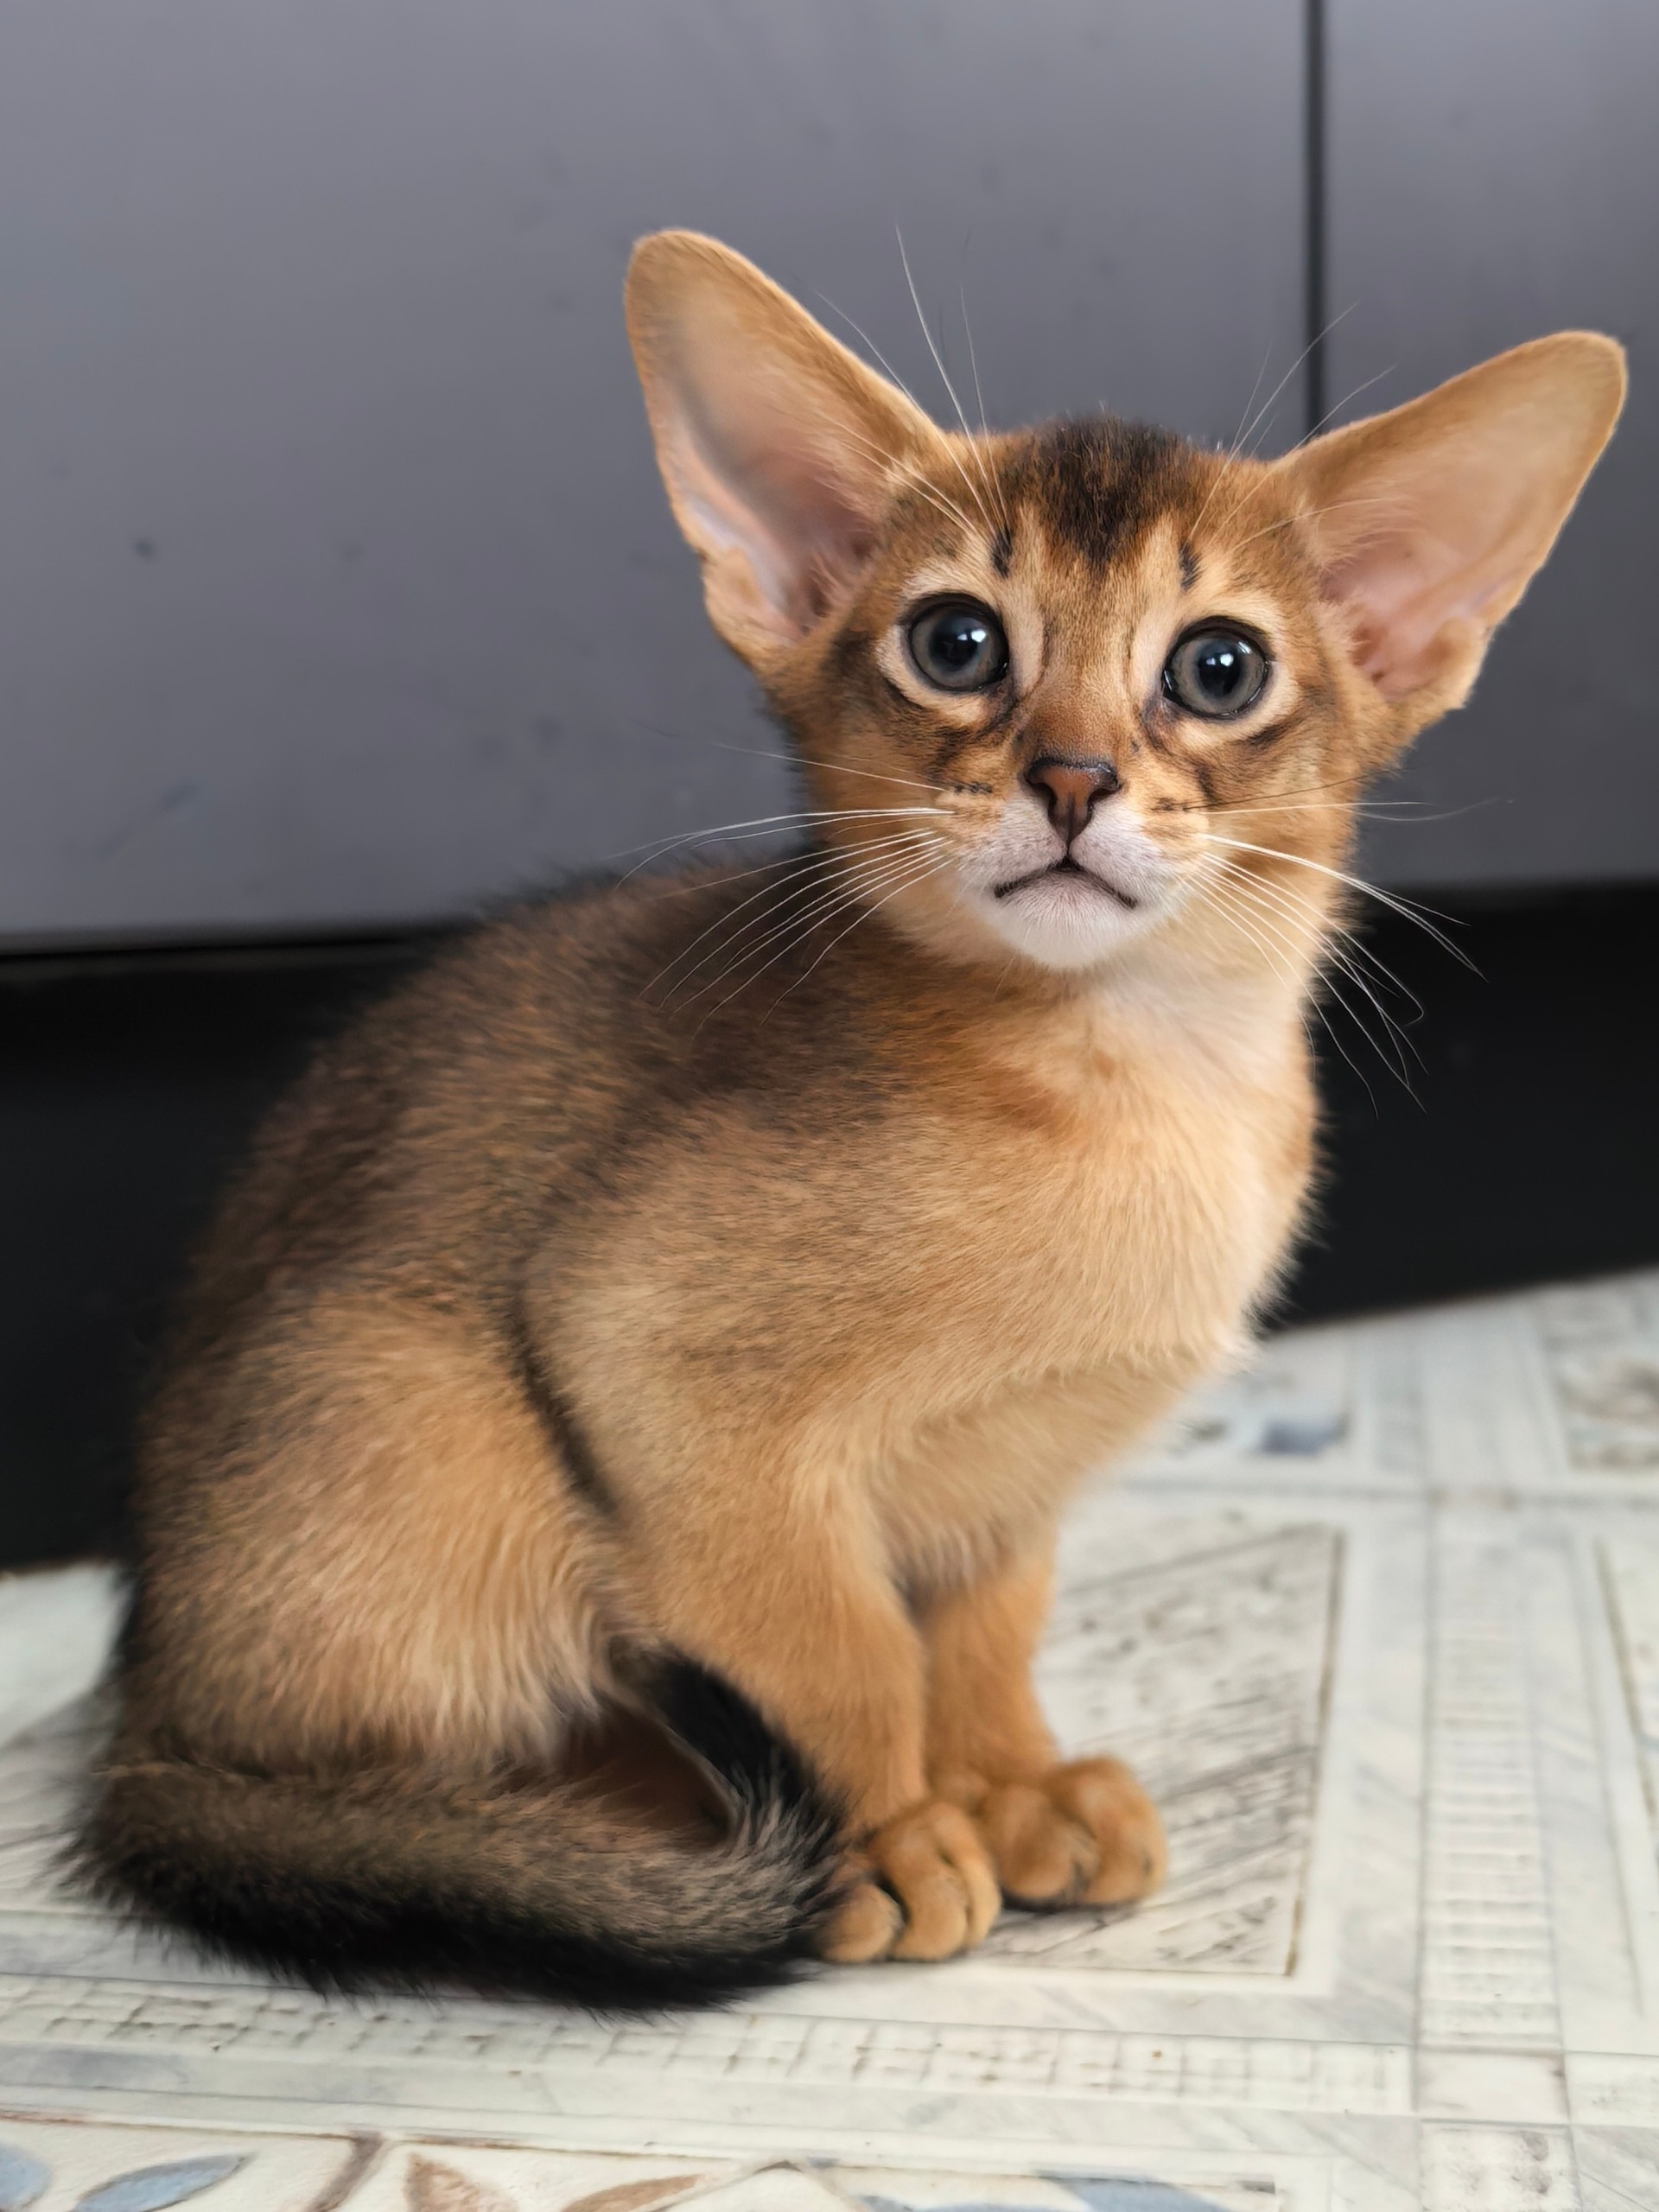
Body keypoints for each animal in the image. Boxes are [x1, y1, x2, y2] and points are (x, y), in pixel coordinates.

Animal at [75, 231, 1624, 2008]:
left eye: (1218, 668)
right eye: (956, 644)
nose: (1073, 778)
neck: (1142, 1083)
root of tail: (137, 1722)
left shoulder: (1011, 1478)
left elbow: (984, 1633)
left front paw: (1011, 1784)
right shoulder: (653, 1366)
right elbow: (837, 1651)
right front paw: (887, 1838)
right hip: (416, 1416)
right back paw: (635, 1829)